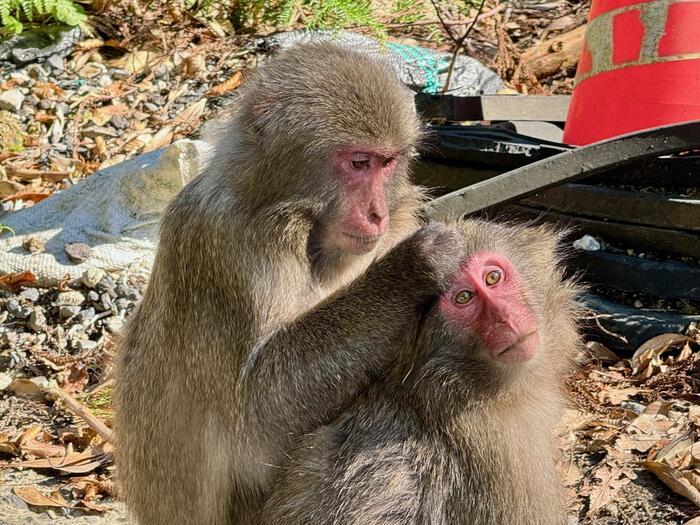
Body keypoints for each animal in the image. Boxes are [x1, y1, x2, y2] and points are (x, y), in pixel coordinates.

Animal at [116, 43, 464, 520]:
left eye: (388, 162)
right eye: (359, 163)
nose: (377, 212)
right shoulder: (231, 245)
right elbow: (253, 419)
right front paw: (417, 264)